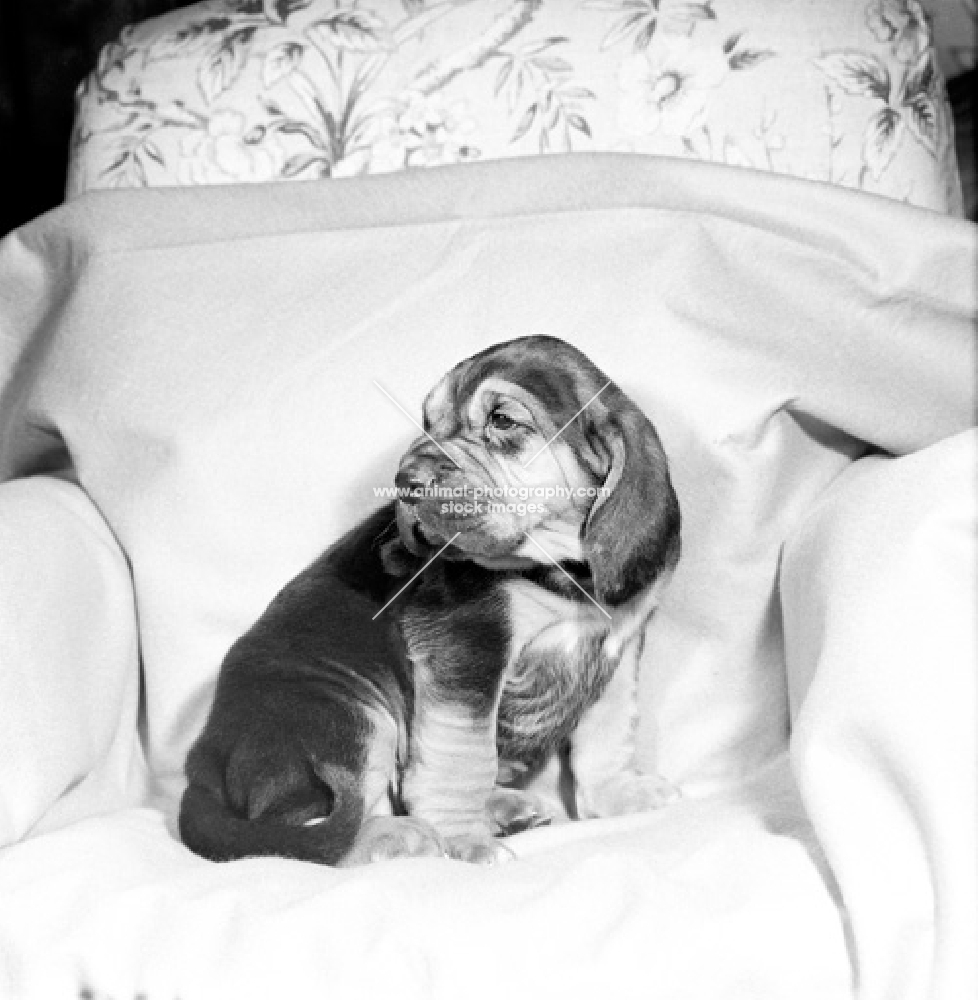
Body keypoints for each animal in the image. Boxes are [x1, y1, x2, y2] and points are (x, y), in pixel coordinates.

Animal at [179, 336, 680, 868]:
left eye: (503, 421)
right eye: (427, 423)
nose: (405, 480)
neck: (560, 570)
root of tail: (201, 766)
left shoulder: (617, 649)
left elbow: (608, 733)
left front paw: (618, 795)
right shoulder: (467, 649)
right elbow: (462, 753)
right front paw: (466, 840)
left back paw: (503, 809)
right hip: (347, 712)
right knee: (308, 832)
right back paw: (394, 834)